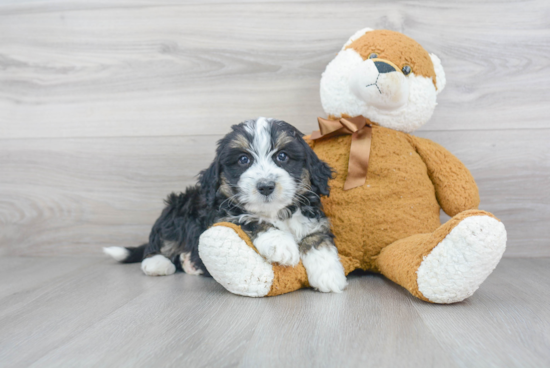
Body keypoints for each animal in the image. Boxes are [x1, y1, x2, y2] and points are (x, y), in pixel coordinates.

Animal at [105, 118, 350, 294]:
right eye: (243, 160)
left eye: (282, 156)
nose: (266, 186)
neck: (274, 212)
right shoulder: (219, 216)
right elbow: (249, 219)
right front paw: (280, 243)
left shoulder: (313, 217)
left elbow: (317, 237)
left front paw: (329, 274)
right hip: (177, 209)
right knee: (160, 241)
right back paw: (157, 263)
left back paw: (189, 263)